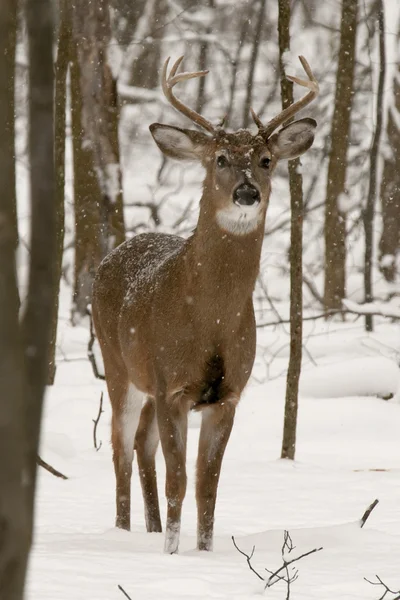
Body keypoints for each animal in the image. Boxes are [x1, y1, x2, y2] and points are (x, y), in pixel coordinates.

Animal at [91, 55, 318, 552]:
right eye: (220, 159)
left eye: (266, 160)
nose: (247, 192)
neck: (208, 318)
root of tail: (113, 254)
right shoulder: (172, 385)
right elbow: (178, 481)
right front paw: (173, 555)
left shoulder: (227, 394)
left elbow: (206, 486)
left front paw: (203, 552)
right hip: (118, 366)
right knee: (120, 446)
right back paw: (122, 531)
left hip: (147, 383)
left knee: (141, 443)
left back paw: (151, 527)